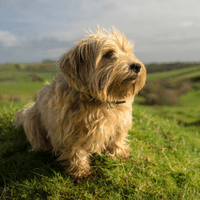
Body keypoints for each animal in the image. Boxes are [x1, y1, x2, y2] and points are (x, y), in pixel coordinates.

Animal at [13, 26, 145, 178]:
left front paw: (118, 156)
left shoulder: (120, 123)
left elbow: (117, 140)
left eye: (129, 52)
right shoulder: (69, 130)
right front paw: (80, 171)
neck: (98, 101)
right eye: (109, 54)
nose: (137, 66)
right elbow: (76, 150)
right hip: (31, 118)